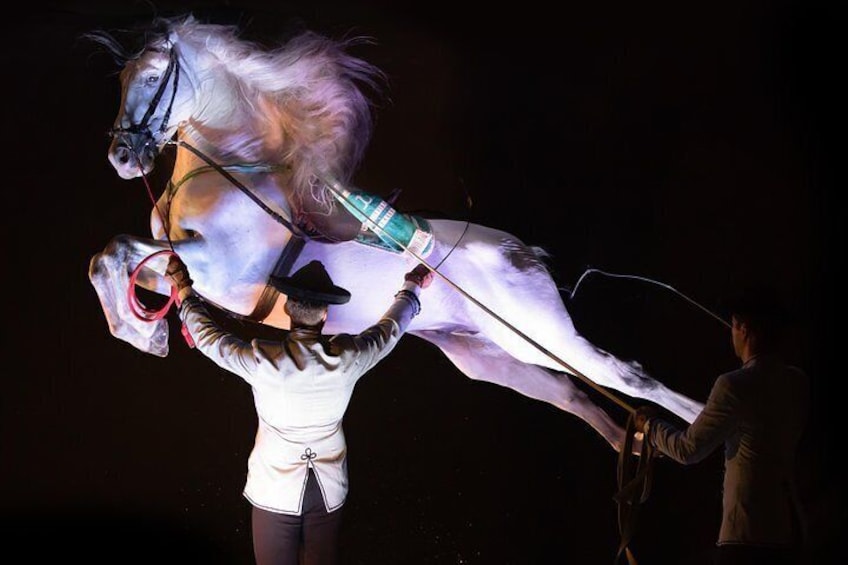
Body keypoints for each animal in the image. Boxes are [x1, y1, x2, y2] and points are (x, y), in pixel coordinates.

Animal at [86, 15, 704, 452]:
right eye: (121, 80)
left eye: (150, 77)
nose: (122, 157)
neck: (236, 170)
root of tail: (519, 251)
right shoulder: (181, 267)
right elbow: (110, 261)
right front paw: (143, 332)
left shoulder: (222, 270)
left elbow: (116, 252)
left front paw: (144, 334)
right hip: (494, 354)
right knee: (579, 396)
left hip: (544, 332)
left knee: (627, 377)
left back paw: (704, 431)